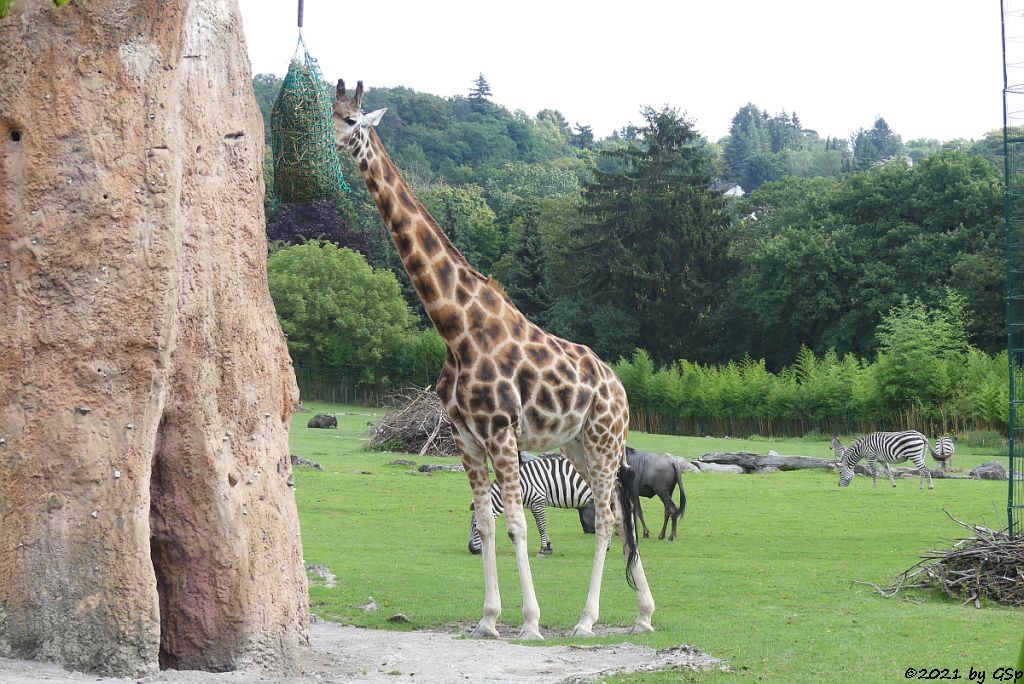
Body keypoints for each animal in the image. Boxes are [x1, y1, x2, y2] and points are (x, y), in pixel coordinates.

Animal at [468, 454, 598, 557]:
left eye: (475, 526)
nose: (472, 550)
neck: (520, 485)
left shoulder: (538, 501)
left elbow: (541, 526)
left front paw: (543, 550)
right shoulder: (533, 505)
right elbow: (539, 525)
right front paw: (548, 546)